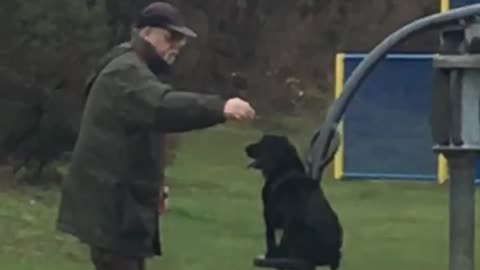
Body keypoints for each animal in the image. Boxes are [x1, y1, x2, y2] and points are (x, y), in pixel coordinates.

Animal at [246, 135, 344, 270]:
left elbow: (269, 238)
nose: (246, 148)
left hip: (294, 228)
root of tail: (332, 253)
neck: (286, 170)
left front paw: (270, 254)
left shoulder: (269, 216)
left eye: (262, 143)